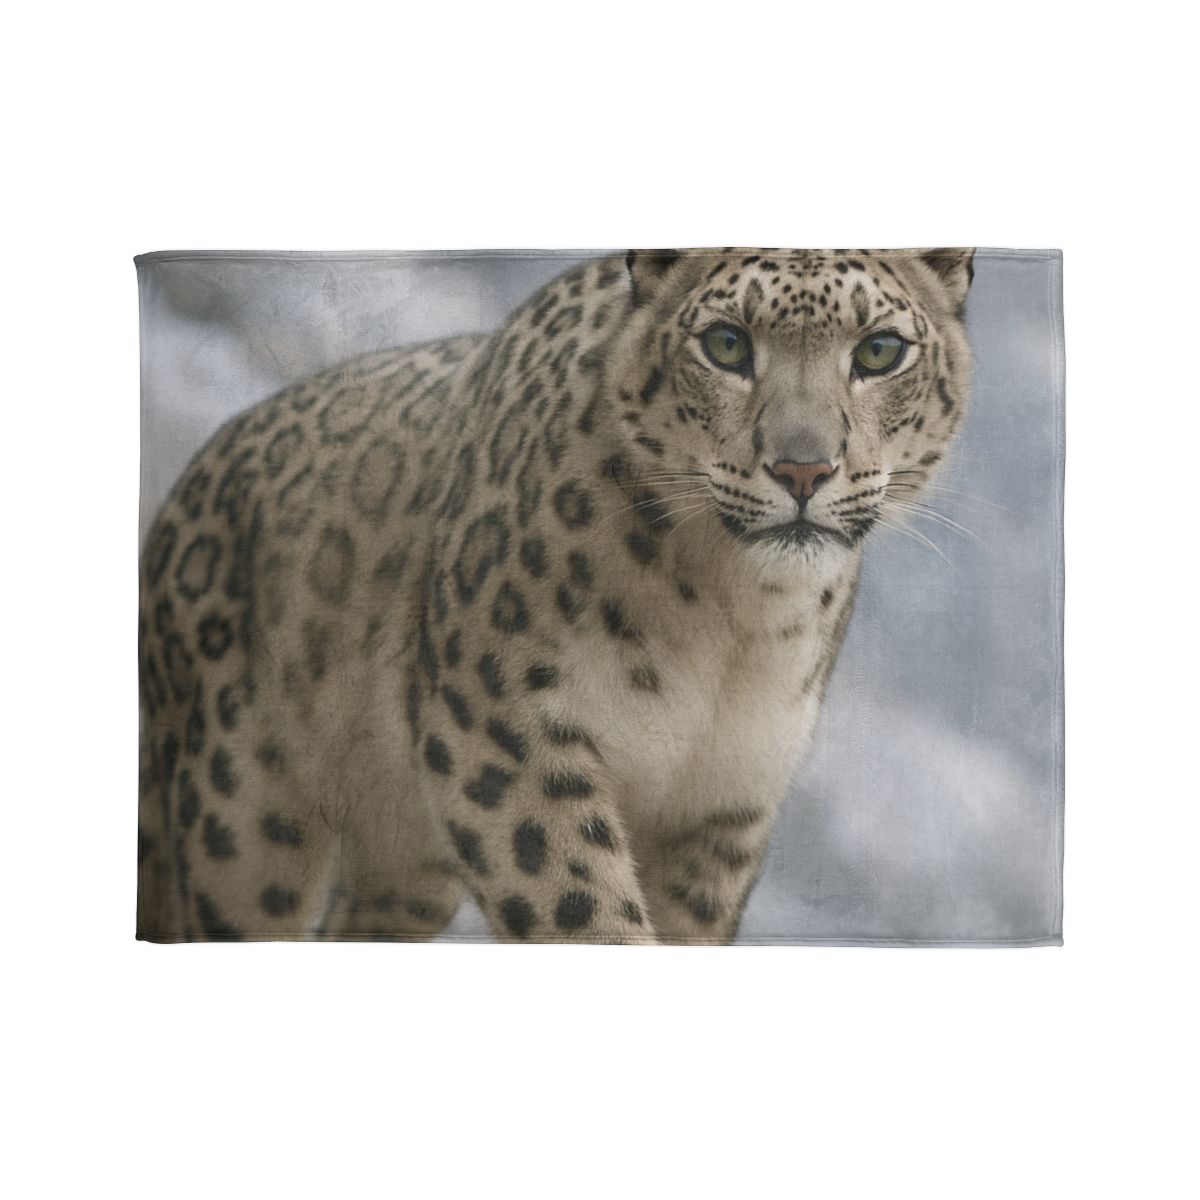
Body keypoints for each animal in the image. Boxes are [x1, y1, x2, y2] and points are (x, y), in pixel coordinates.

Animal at [137, 247, 974, 943]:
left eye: (879, 351)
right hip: (237, 816)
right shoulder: (505, 731)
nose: (804, 469)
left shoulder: (725, 805)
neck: (737, 615)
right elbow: (580, 903)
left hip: (403, 864)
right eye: (727, 344)